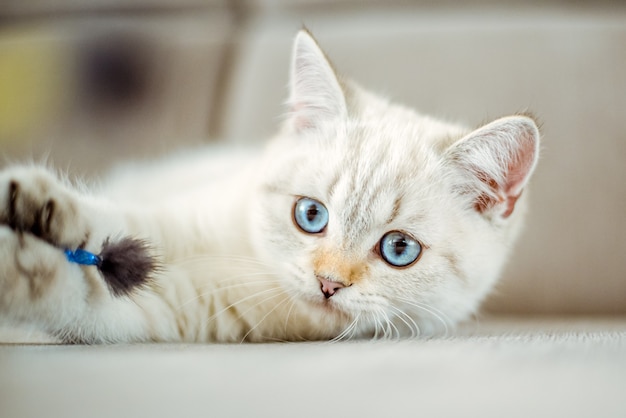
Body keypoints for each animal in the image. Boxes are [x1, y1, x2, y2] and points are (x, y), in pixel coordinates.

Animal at [0, 30, 536, 342]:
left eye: (399, 249)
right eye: (311, 215)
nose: (328, 283)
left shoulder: (175, 307)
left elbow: (76, 298)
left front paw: (21, 262)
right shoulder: (176, 219)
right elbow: (119, 222)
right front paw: (36, 205)